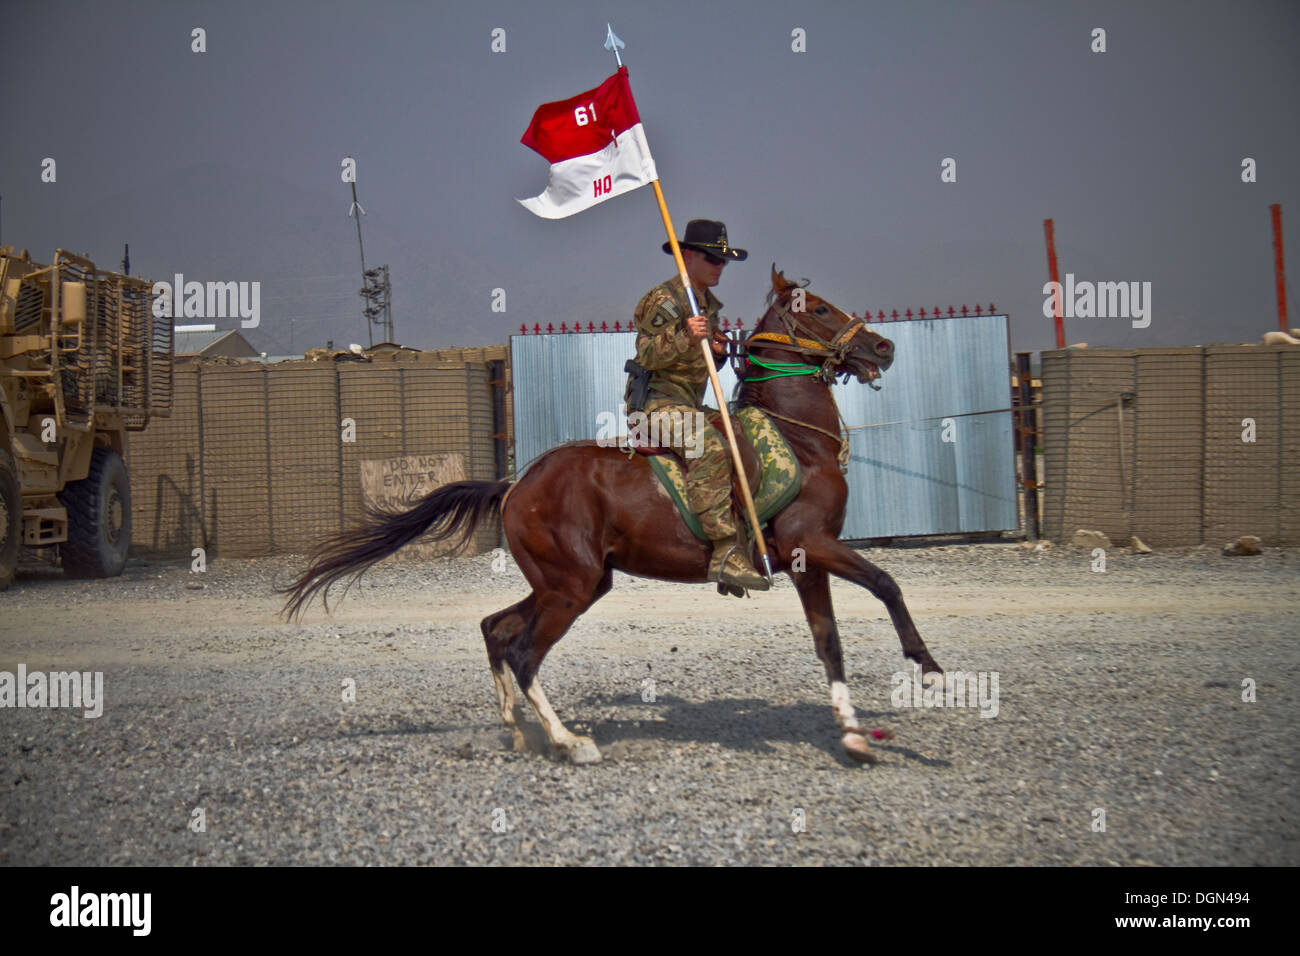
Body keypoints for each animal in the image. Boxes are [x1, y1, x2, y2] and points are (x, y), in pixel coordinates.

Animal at [279, 265, 941, 764]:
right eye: (820, 309)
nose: (883, 346)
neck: (798, 439)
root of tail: (516, 483)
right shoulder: (813, 544)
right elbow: (887, 584)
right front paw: (929, 669)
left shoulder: (809, 561)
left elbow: (829, 643)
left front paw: (854, 736)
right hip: (569, 588)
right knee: (524, 652)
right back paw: (569, 742)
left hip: (574, 582)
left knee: (496, 629)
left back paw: (517, 729)